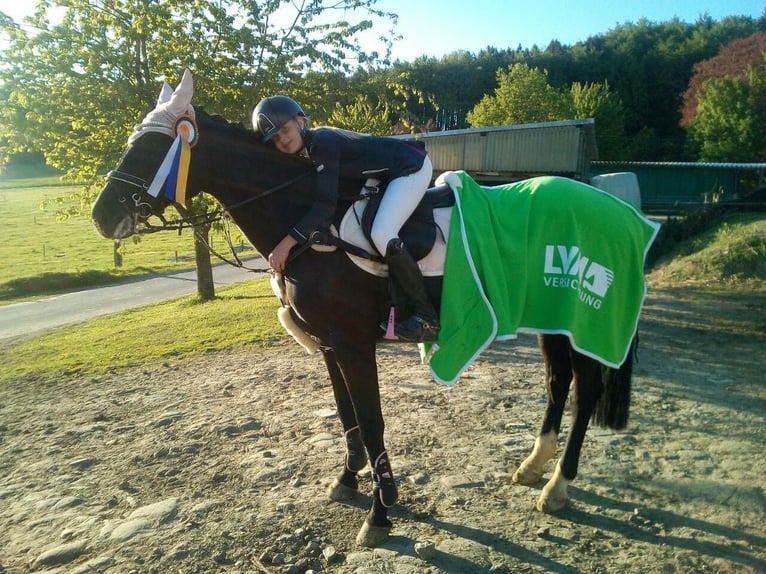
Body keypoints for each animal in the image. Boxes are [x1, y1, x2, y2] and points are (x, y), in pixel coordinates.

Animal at [90, 72, 640, 548]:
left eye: (152, 146)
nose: (102, 216)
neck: (308, 224)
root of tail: (614, 207)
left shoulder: (354, 343)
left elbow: (372, 420)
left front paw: (381, 511)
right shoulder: (330, 345)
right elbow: (346, 414)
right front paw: (349, 479)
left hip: (578, 321)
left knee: (585, 391)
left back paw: (558, 486)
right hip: (553, 319)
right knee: (558, 383)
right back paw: (533, 467)